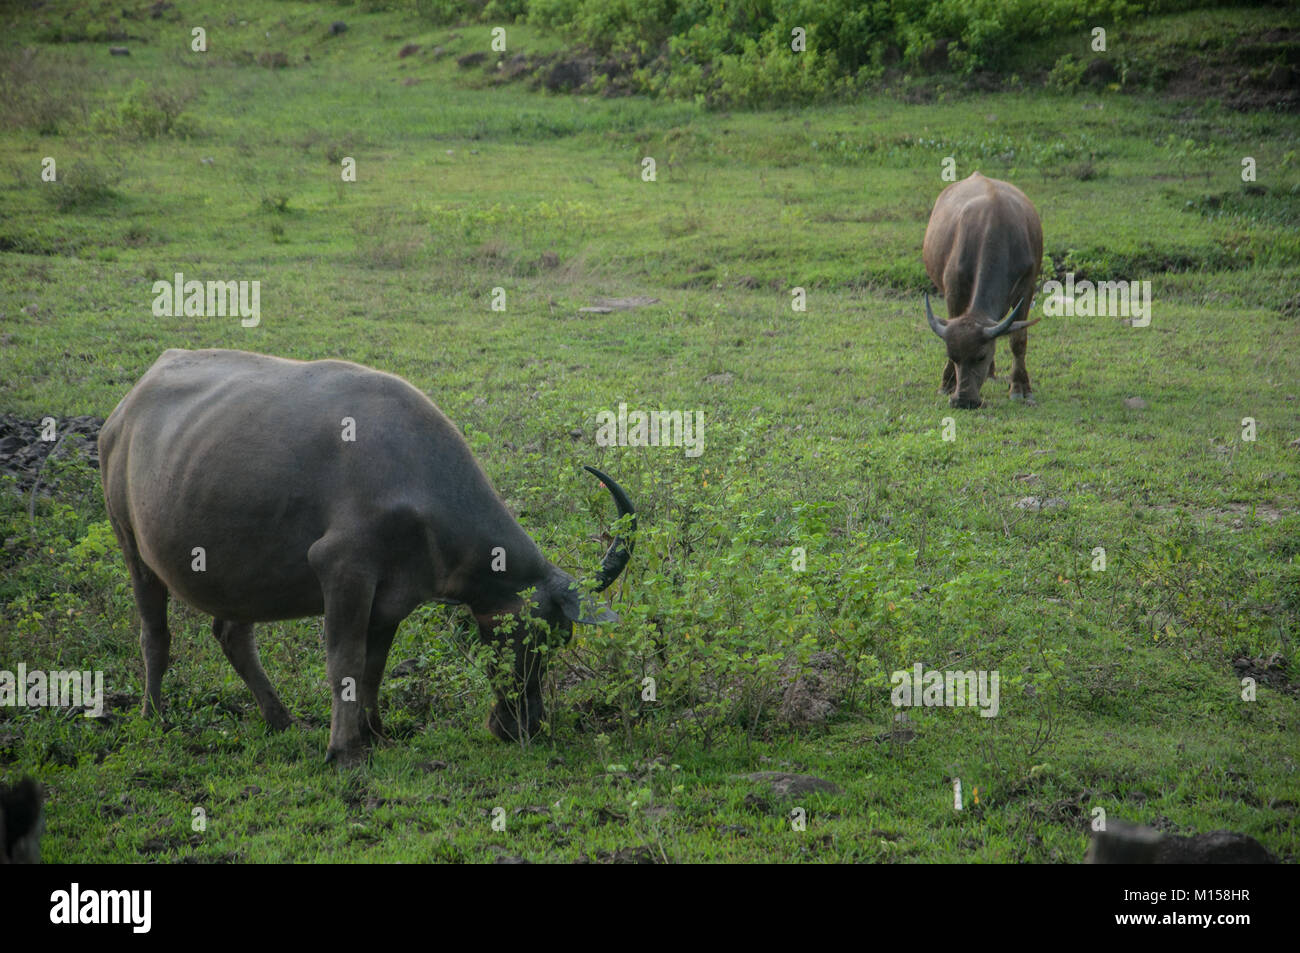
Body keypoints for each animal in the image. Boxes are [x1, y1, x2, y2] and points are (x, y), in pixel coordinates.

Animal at [98, 345, 631, 764]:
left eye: (561, 638)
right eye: (538, 636)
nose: (524, 725)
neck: (414, 476)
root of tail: (124, 410)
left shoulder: (393, 595)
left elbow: (374, 664)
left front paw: (374, 732)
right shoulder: (343, 570)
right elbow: (345, 660)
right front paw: (344, 749)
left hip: (239, 575)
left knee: (232, 634)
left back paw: (282, 719)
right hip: (130, 542)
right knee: (155, 635)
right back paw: (154, 715)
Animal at [920, 171, 1040, 408]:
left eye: (981, 356)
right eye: (953, 356)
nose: (964, 400)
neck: (995, 229)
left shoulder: (1027, 286)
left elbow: (1018, 340)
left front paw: (1020, 387)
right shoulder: (953, 289)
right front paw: (947, 383)